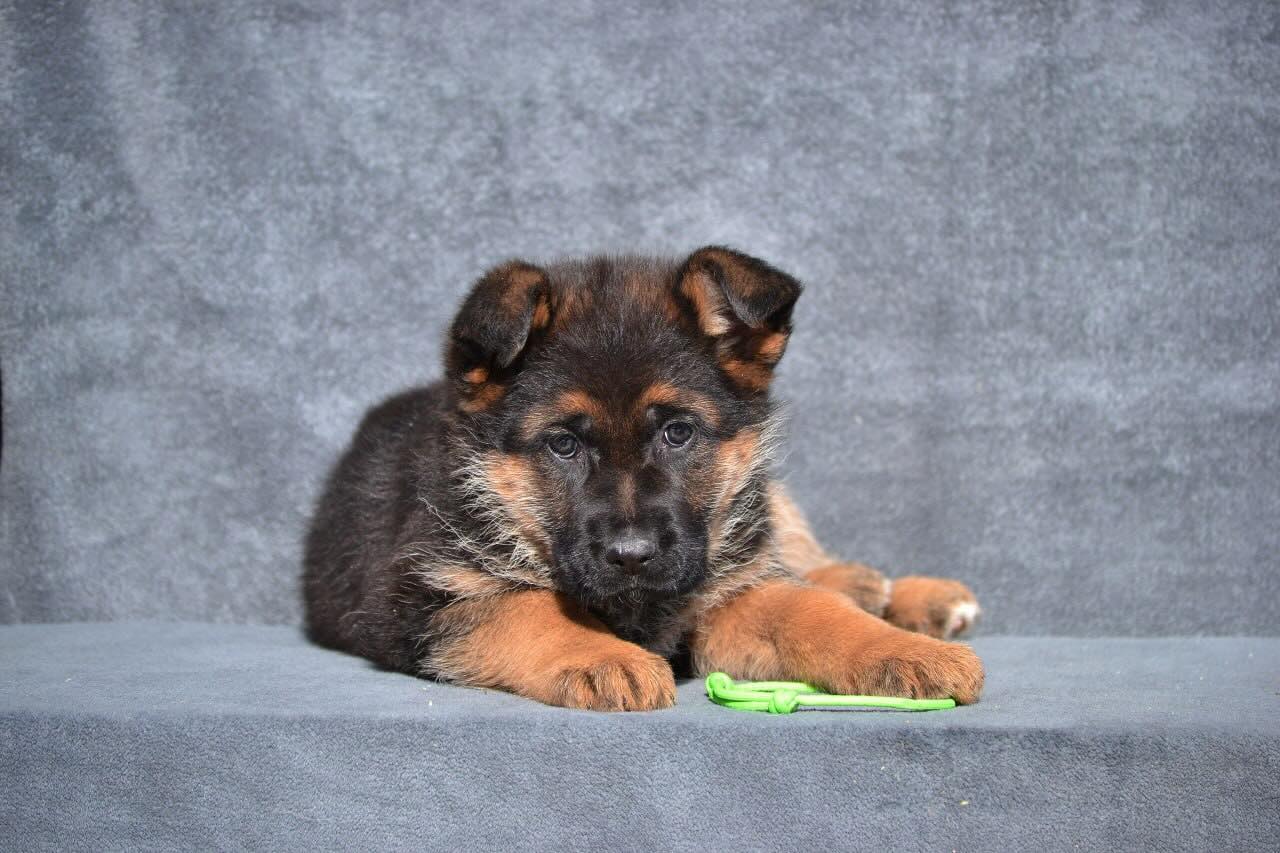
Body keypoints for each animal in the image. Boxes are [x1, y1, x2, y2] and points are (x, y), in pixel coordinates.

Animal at [303, 246, 983, 710]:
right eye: (563, 444)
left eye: (677, 432)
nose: (632, 556)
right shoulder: (419, 598)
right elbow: (526, 605)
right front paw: (603, 654)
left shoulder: (728, 593)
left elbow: (809, 610)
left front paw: (905, 652)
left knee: (802, 564)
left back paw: (902, 596)